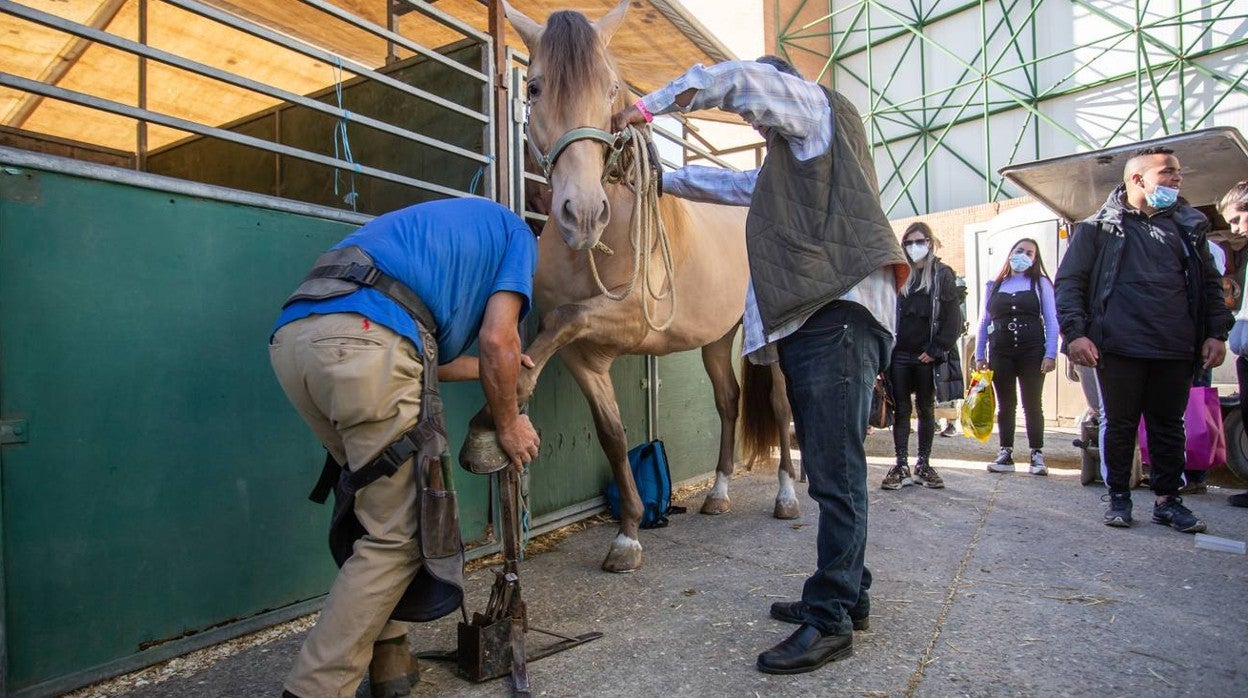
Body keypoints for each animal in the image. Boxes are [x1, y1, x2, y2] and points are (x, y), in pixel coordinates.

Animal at [469, 1, 798, 574]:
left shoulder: (631, 319)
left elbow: (565, 317)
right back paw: (718, 493)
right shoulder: (585, 357)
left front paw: (499, 408)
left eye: (610, 88)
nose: (583, 214)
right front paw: (627, 533)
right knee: (728, 402)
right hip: (716, 340)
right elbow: (613, 435)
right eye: (534, 86)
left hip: (768, 341)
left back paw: (786, 496)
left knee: (778, 403)